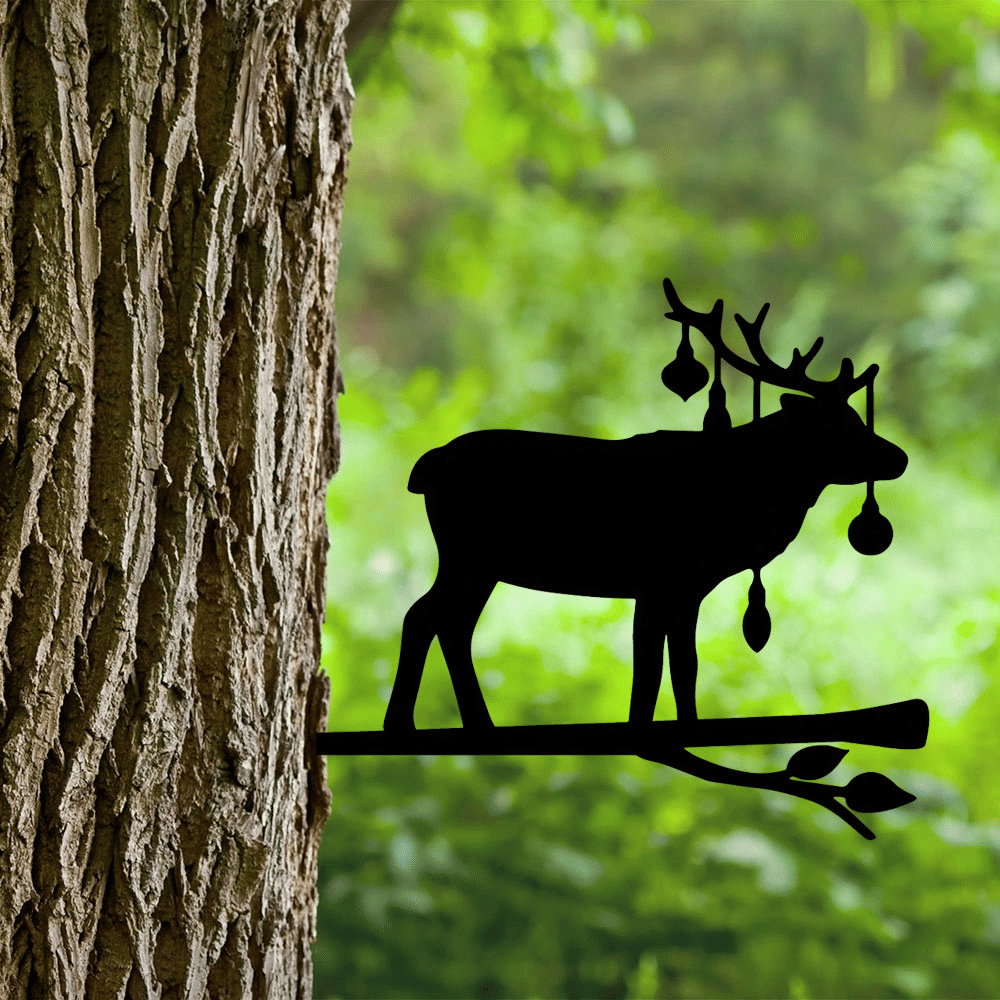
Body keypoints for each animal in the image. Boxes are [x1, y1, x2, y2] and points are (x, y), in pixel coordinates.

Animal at [382, 279, 908, 731]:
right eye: (838, 428)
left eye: (857, 416)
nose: (898, 457)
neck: (742, 497)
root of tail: (426, 467)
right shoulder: (660, 579)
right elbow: (652, 667)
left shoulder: (685, 587)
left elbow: (683, 664)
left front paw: (687, 727)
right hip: (467, 553)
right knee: (425, 617)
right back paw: (404, 724)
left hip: (477, 562)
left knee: (449, 623)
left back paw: (472, 724)